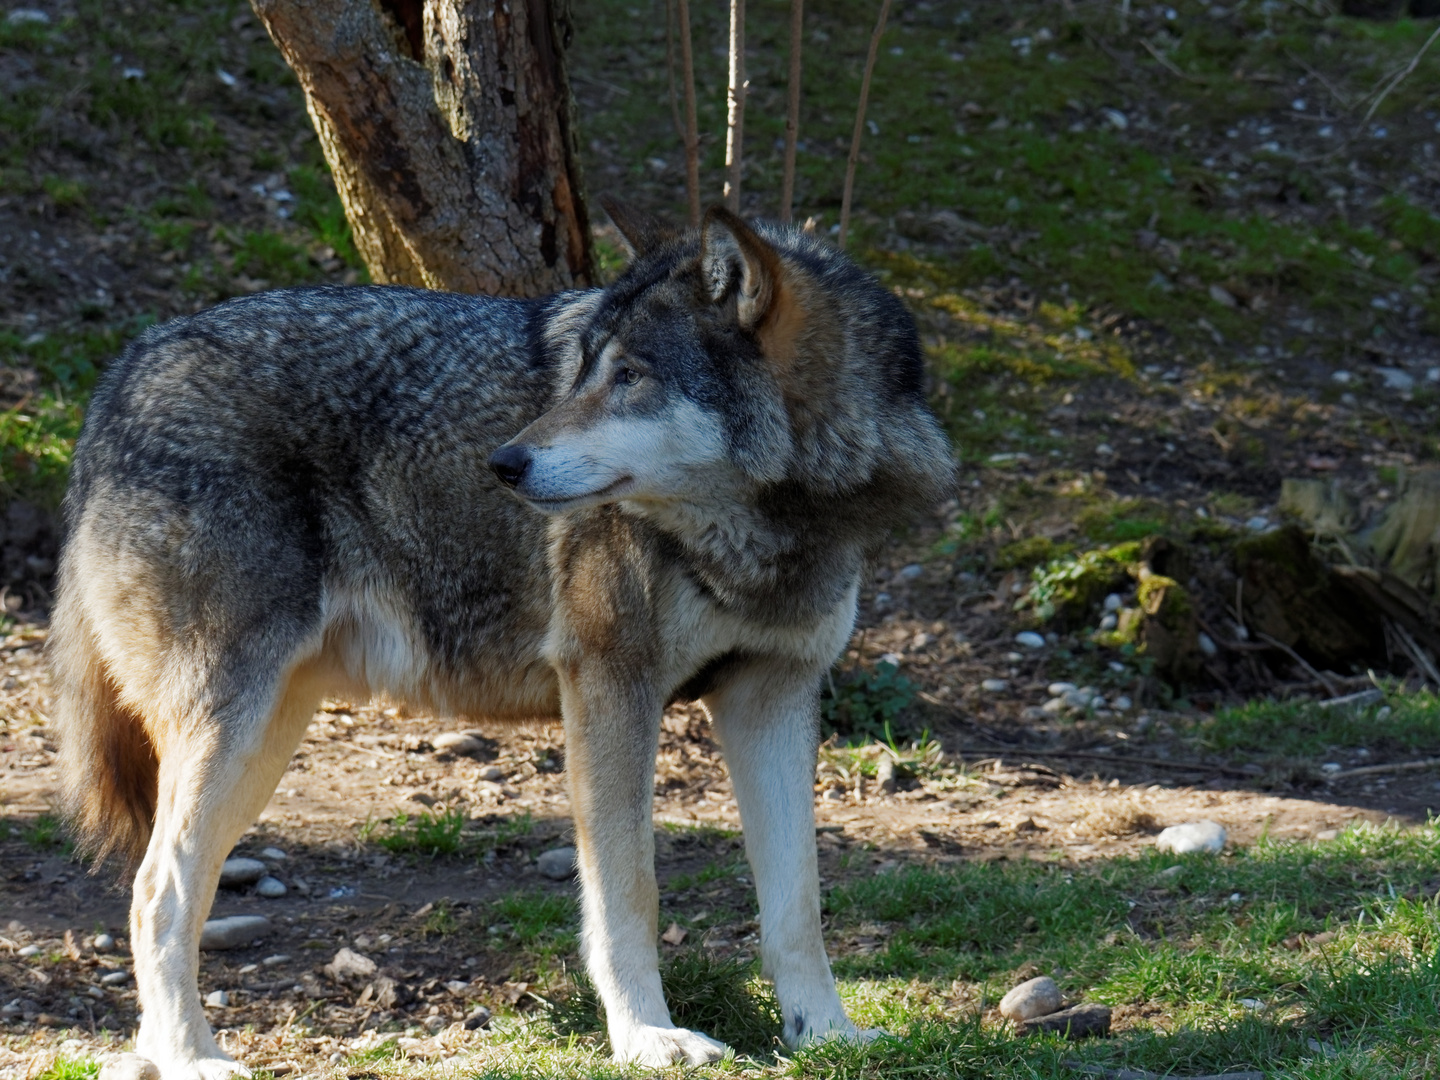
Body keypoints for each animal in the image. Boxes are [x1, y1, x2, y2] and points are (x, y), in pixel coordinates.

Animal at [50, 207, 956, 1077]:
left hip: (266, 738)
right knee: (156, 891)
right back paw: (190, 1057)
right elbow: (629, 891)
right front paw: (649, 1038)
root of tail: (119, 378)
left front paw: (825, 1032)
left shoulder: (774, 696)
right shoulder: (610, 690)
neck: (768, 530)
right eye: (584, 370)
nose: (504, 463)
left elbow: (798, 901)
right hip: (232, 736)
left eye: (629, 377)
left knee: (172, 888)